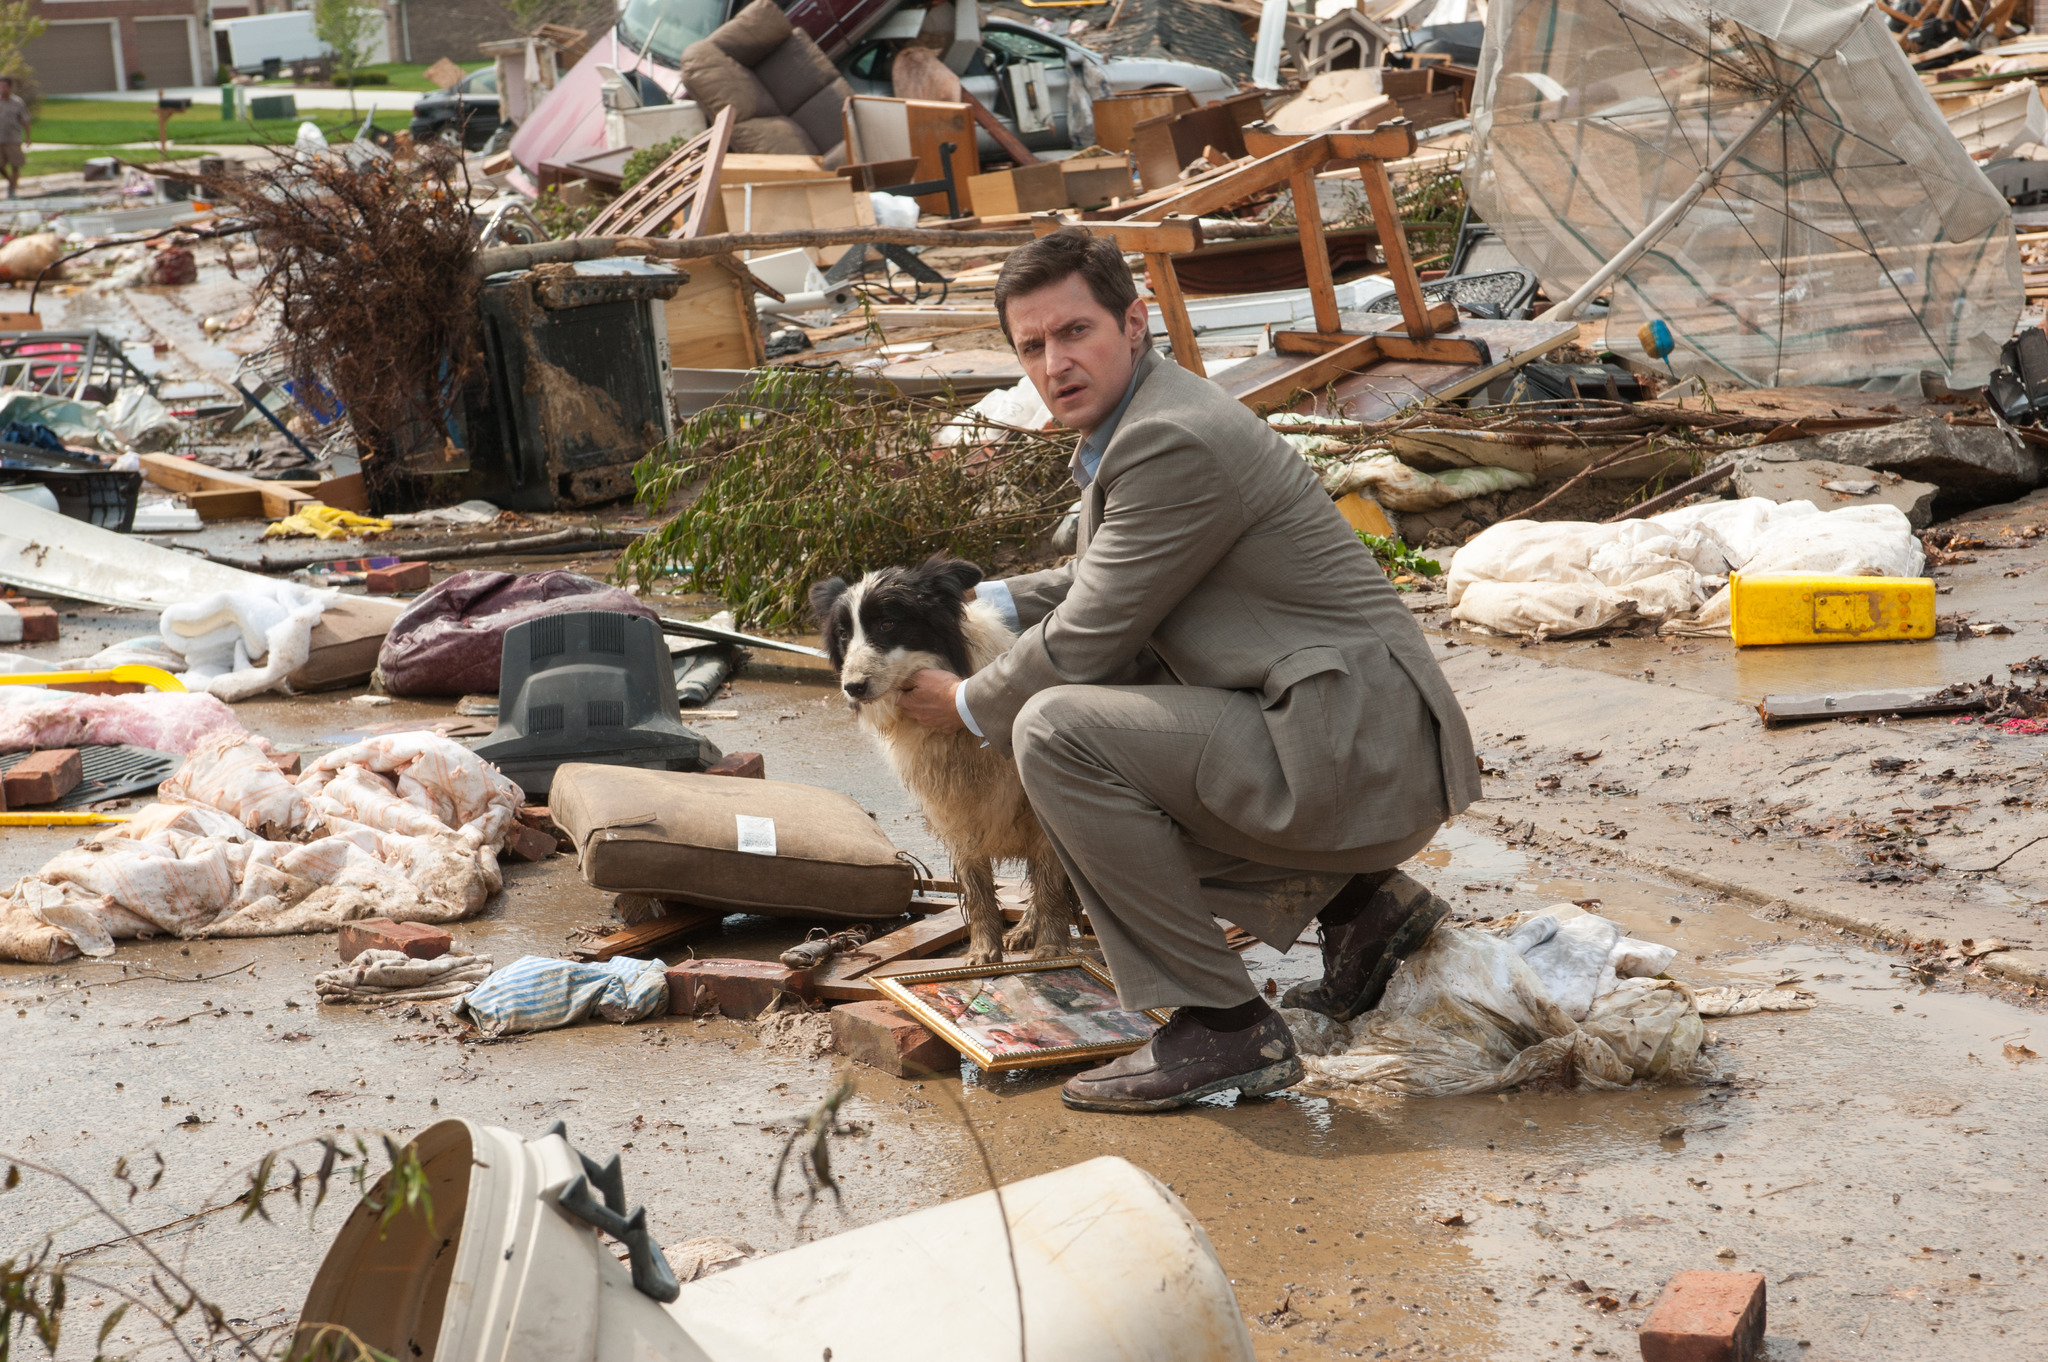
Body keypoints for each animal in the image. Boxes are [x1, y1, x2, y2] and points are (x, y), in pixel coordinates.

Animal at [806, 557, 1081, 966]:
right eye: (843, 634)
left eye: (887, 624)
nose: (853, 688)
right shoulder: (954, 806)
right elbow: (977, 884)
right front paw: (983, 952)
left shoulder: (1034, 803)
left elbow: (1050, 877)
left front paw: (1050, 950)